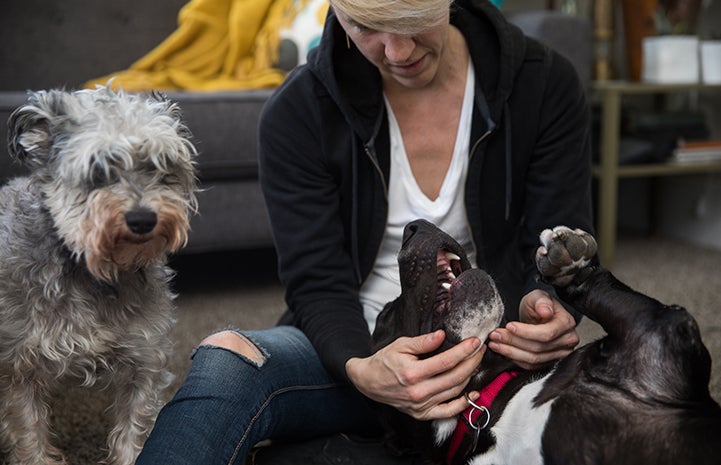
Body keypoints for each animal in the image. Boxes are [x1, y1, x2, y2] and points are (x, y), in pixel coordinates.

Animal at [0, 86, 197, 464]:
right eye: (99, 168)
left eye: (159, 164)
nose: (142, 219)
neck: (91, 269)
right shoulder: (18, 368)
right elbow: (29, 437)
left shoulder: (144, 361)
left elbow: (133, 433)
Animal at [372, 218, 720, 464]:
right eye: (384, 316)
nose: (414, 227)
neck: (484, 409)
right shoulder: (656, 332)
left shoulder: (652, 334)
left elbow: (598, 290)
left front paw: (570, 264)